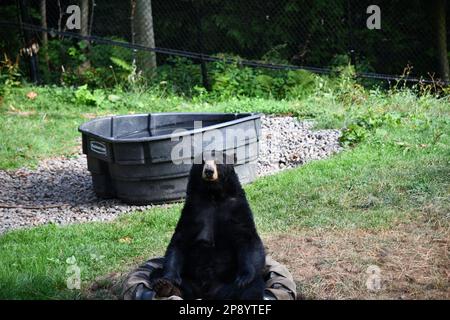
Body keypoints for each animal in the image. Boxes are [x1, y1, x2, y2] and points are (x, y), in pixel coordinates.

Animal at [152, 152, 264, 300]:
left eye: (217, 161)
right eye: (202, 161)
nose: (209, 171)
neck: (213, 195)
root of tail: (206, 293)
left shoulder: (237, 208)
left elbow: (247, 238)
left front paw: (243, 278)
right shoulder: (192, 210)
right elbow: (179, 240)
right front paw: (169, 279)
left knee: (254, 285)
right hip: (191, 281)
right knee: (155, 273)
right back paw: (165, 287)